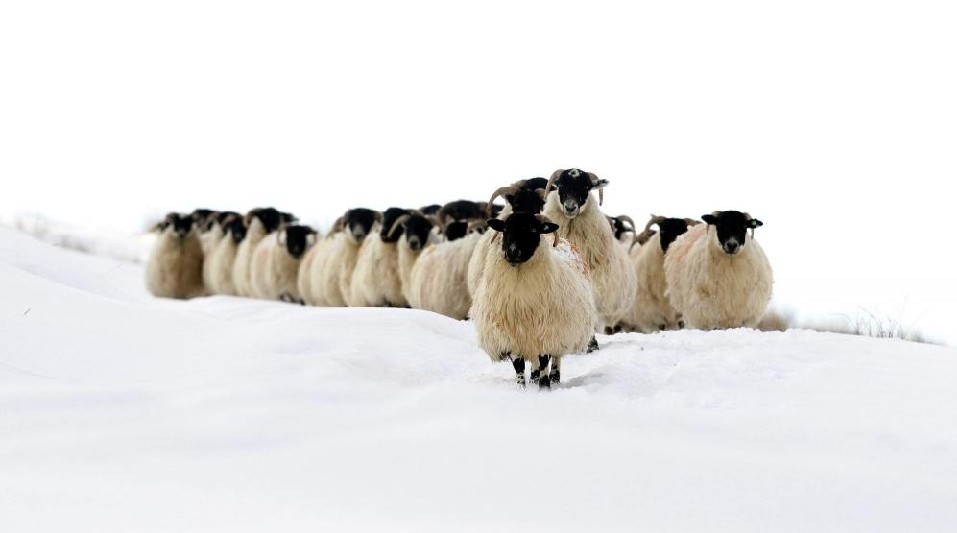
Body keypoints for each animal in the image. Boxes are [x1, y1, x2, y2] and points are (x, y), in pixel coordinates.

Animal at [468, 211, 592, 386]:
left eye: (533, 230)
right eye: (505, 228)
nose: (512, 252)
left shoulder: (546, 332)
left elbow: (544, 361)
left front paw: (544, 387)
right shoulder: (510, 335)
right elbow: (519, 366)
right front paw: (522, 387)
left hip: (561, 330)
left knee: (556, 357)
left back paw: (554, 379)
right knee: (534, 362)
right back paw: (533, 379)